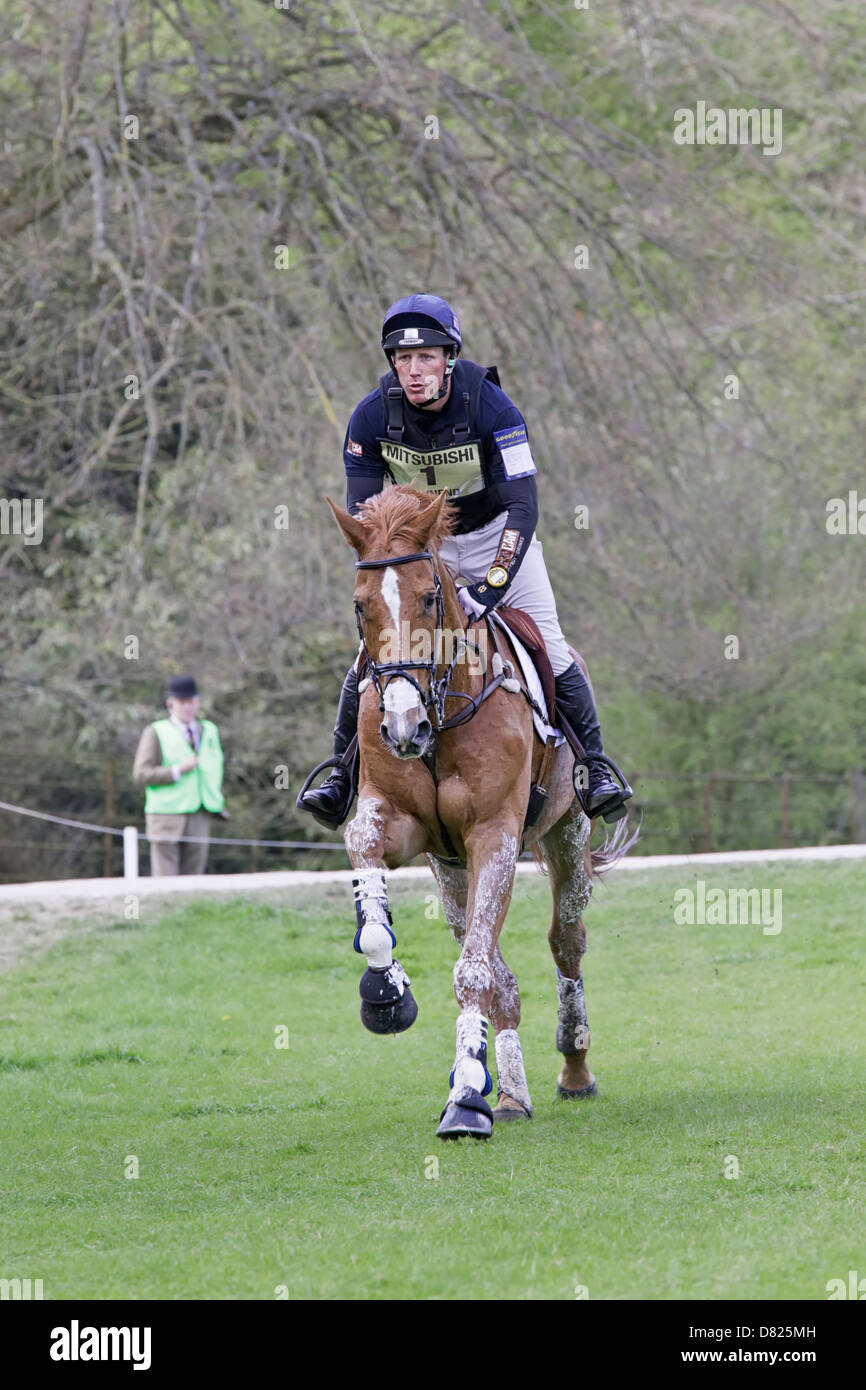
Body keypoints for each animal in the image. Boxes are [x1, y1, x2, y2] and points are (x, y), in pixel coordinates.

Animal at [326, 484, 634, 1139]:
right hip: (449, 868)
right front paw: (386, 994)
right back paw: (512, 1093)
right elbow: (363, 848)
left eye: (429, 597)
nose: (401, 727)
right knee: (498, 971)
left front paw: (466, 1099)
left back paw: (572, 1068)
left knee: (564, 943)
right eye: (361, 607)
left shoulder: (494, 834)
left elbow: (472, 973)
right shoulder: (403, 827)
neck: (442, 712)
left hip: (564, 835)